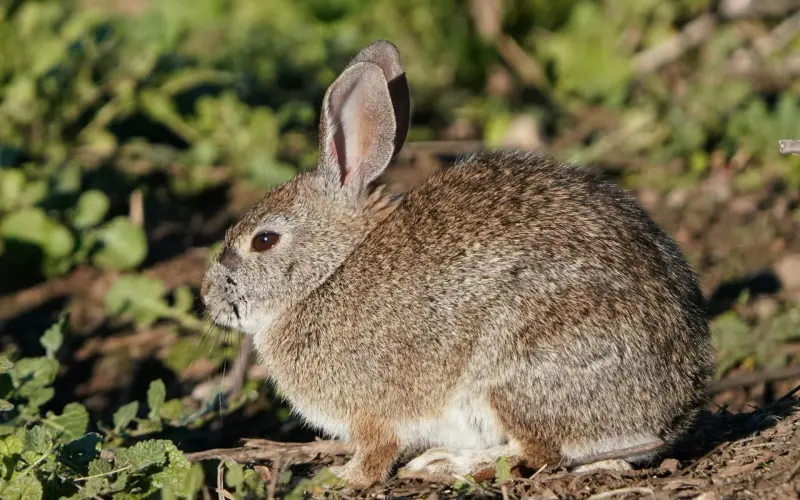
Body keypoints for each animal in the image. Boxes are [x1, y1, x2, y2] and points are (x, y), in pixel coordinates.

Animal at [200, 39, 715, 488]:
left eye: (264, 240)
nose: (208, 297)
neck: (329, 272)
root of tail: (676, 404)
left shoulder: (373, 414)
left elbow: (375, 455)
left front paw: (337, 479)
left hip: (514, 377)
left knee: (539, 452)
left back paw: (449, 464)